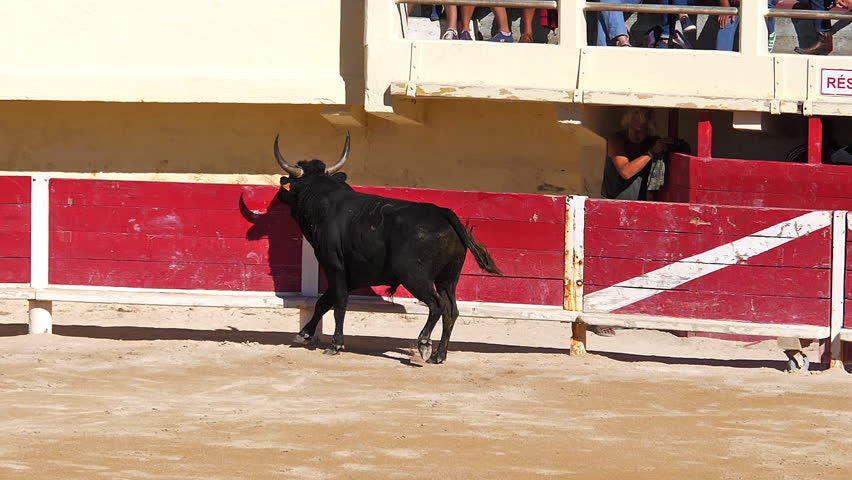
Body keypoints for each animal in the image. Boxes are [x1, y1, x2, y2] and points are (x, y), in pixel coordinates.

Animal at [265, 132, 502, 364]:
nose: (278, 192)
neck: (322, 200)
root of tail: (443, 212)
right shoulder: (351, 275)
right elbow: (323, 301)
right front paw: (304, 333)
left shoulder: (334, 267)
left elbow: (338, 303)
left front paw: (335, 344)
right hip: (448, 277)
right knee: (451, 310)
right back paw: (439, 355)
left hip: (414, 276)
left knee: (436, 305)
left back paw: (425, 345)